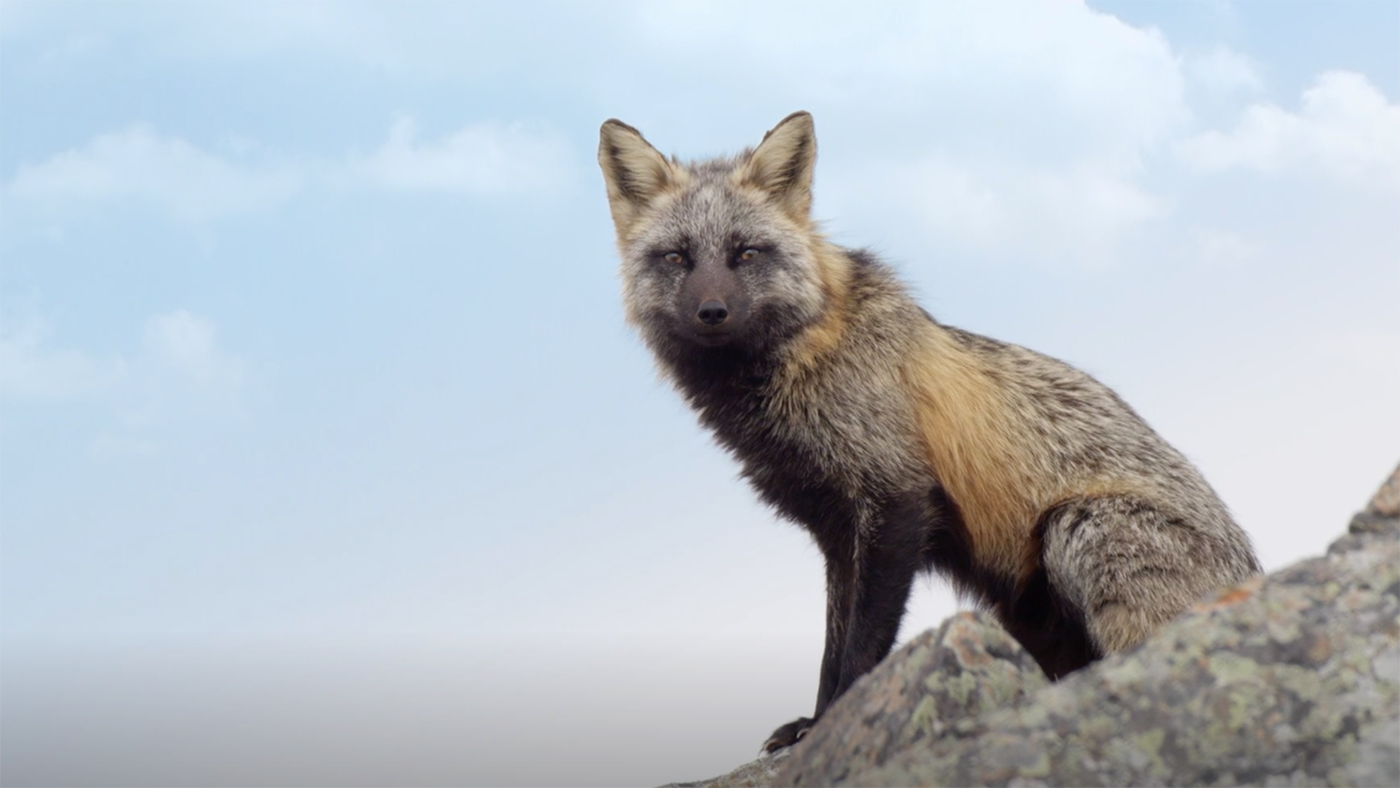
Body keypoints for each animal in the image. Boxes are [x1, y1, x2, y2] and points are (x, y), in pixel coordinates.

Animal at [597, 111, 1261, 752]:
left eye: (746, 254)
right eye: (677, 258)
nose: (712, 313)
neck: (806, 358)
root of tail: (1251, 572)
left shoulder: (895, 503)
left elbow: (861, 647)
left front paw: (832, 721)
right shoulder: (837, 531)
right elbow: (832, 647)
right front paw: (812, 722)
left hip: (1076, 529)